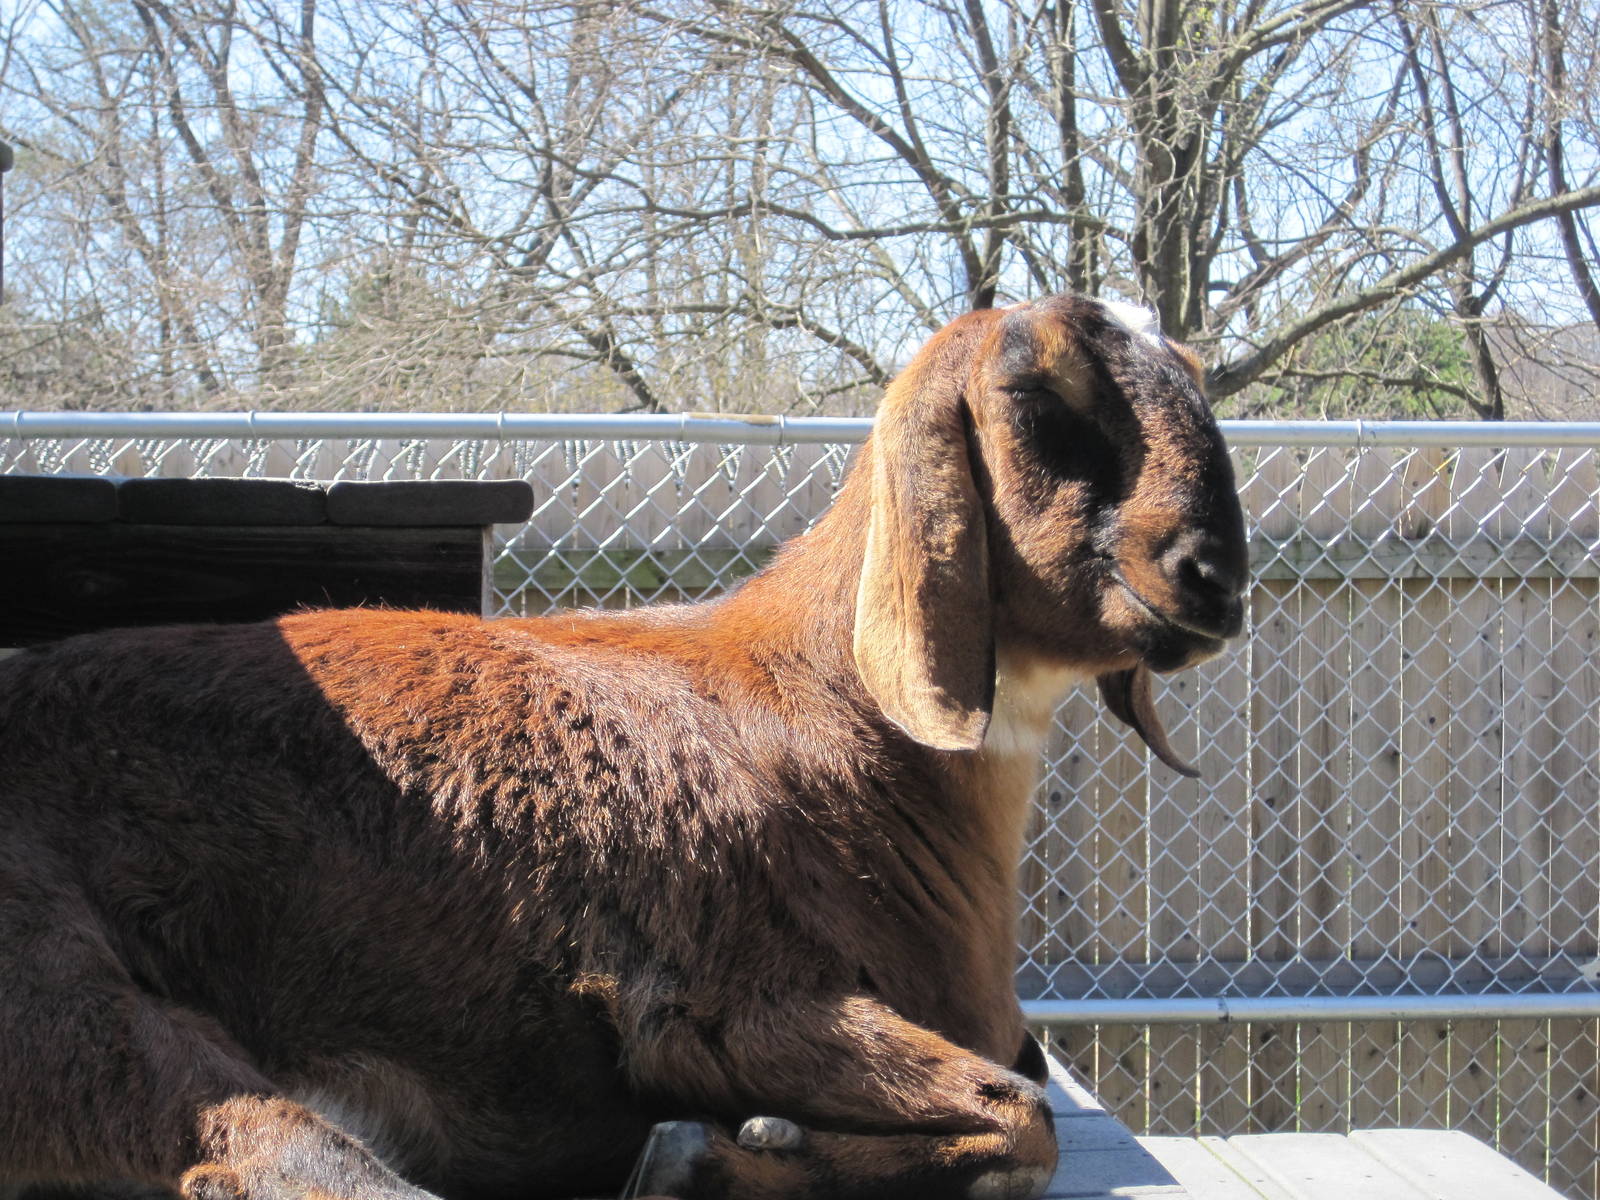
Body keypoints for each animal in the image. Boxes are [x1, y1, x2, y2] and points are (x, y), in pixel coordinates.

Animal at [0, 294, 1247, 1200]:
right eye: (1036, 398)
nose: (1214, 577)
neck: (834, 723)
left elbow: (1024, 1081)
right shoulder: (726, 993)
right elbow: (1020, 1115)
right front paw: (705, 1158)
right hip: (60, 984)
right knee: (292, 1160)